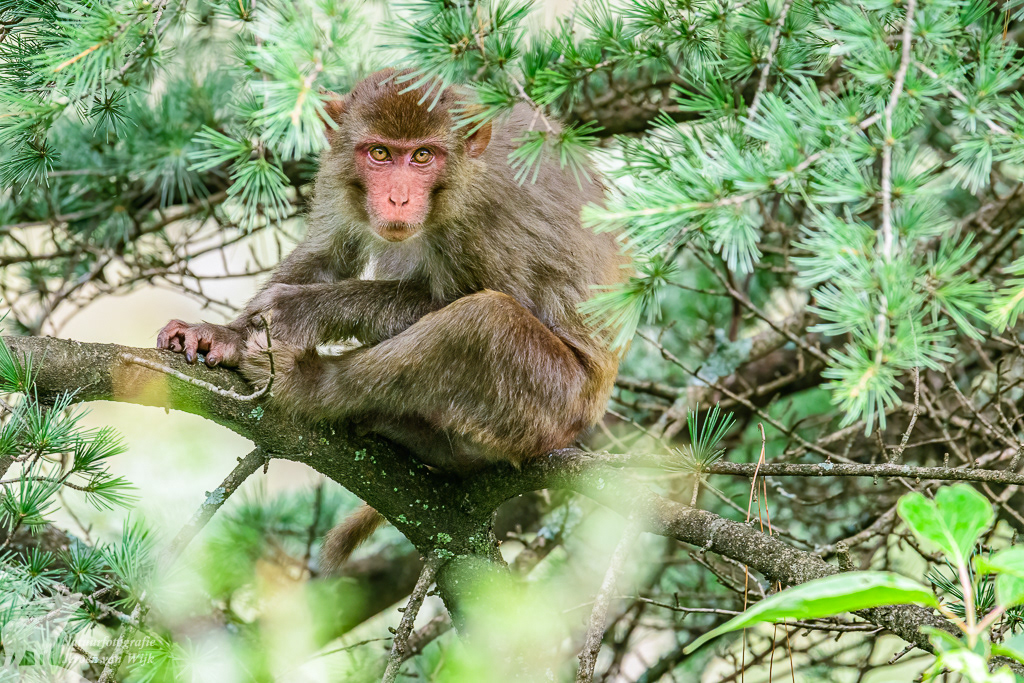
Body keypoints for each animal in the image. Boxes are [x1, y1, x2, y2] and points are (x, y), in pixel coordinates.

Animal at [156, 69, 629, 571]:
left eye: (423, 155)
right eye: (380, 153)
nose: (398, 198)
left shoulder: (488, 213)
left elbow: (493, 297)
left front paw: (304, 310)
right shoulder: (338, 176)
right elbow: (327, 255)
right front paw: (224, 334)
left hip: (554, 403)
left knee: (485, 320)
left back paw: (308, 385)